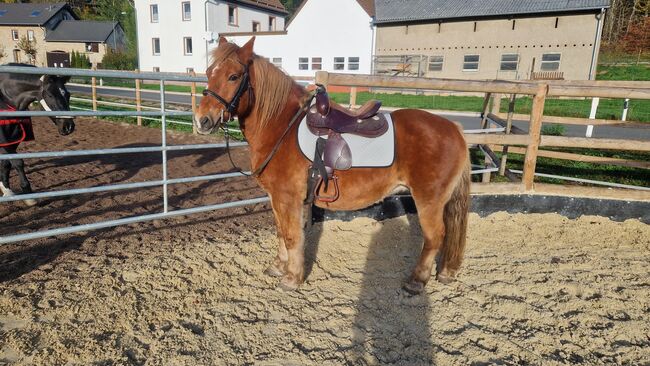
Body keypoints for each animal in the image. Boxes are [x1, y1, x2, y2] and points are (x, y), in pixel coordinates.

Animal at [0, 63, 74, 206]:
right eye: (50, 95)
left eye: (68, 95)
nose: (68, 126)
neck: (4, 100)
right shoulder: (3, 139)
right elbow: (17, 162)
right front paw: (28, 194)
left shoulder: (13, 138)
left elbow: (6, 163)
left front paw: (6, 189)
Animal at [195, 38, 468, 294]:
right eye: (208, 72)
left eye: (233, 76)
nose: (202, 120)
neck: (281, 126)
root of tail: (454, 128)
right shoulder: (276, 197)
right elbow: (281, 232)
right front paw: (278, 266)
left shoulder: (288, 198)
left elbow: (292, 236)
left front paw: (292, 278)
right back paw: (444, 272)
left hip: (428, 200)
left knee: (435, 237)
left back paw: (416, 281)